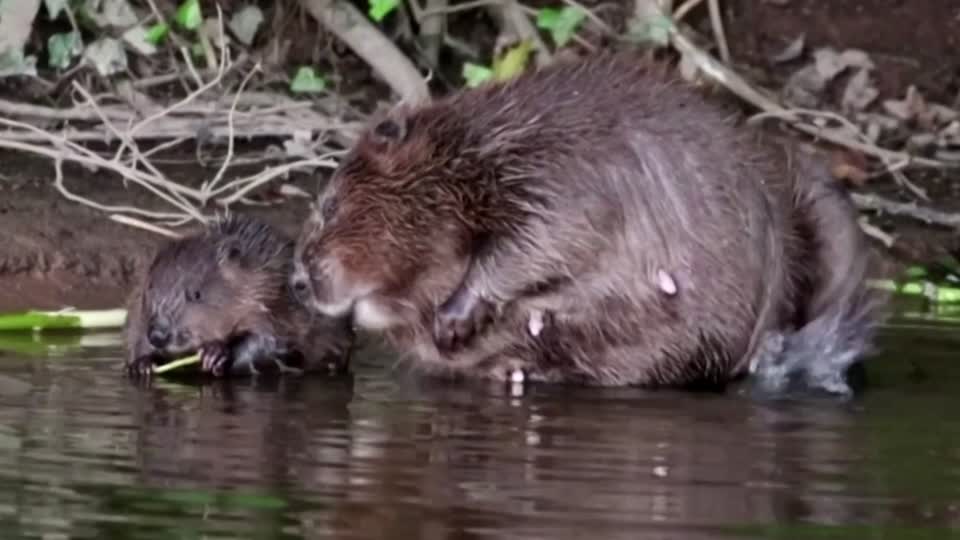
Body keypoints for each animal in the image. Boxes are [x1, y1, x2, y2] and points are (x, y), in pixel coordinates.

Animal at [125, 213, 354, 378]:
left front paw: (214, 354)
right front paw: (142, 364)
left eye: (196, 294)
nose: (158, 335)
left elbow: (271, 341)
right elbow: (135, 335)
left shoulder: (273, 299)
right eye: (149, 290)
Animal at [290, 50, 884, 394]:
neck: (483, 146)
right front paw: (504, 356)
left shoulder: (562, 171)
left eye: (330, 206)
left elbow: (543, 235)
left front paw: (456, 316)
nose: (299, 279)